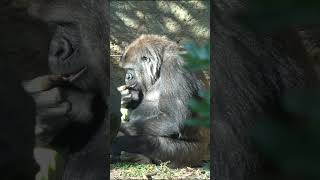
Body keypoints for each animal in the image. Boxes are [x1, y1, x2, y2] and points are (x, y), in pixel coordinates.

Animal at [112, 34, 210, 167]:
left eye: (130, 68)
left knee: (150, 142)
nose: (127, 77)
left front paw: (121, 129)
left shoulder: (175, 66)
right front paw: (125, 97)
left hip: (191, 156)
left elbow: (174, 120)